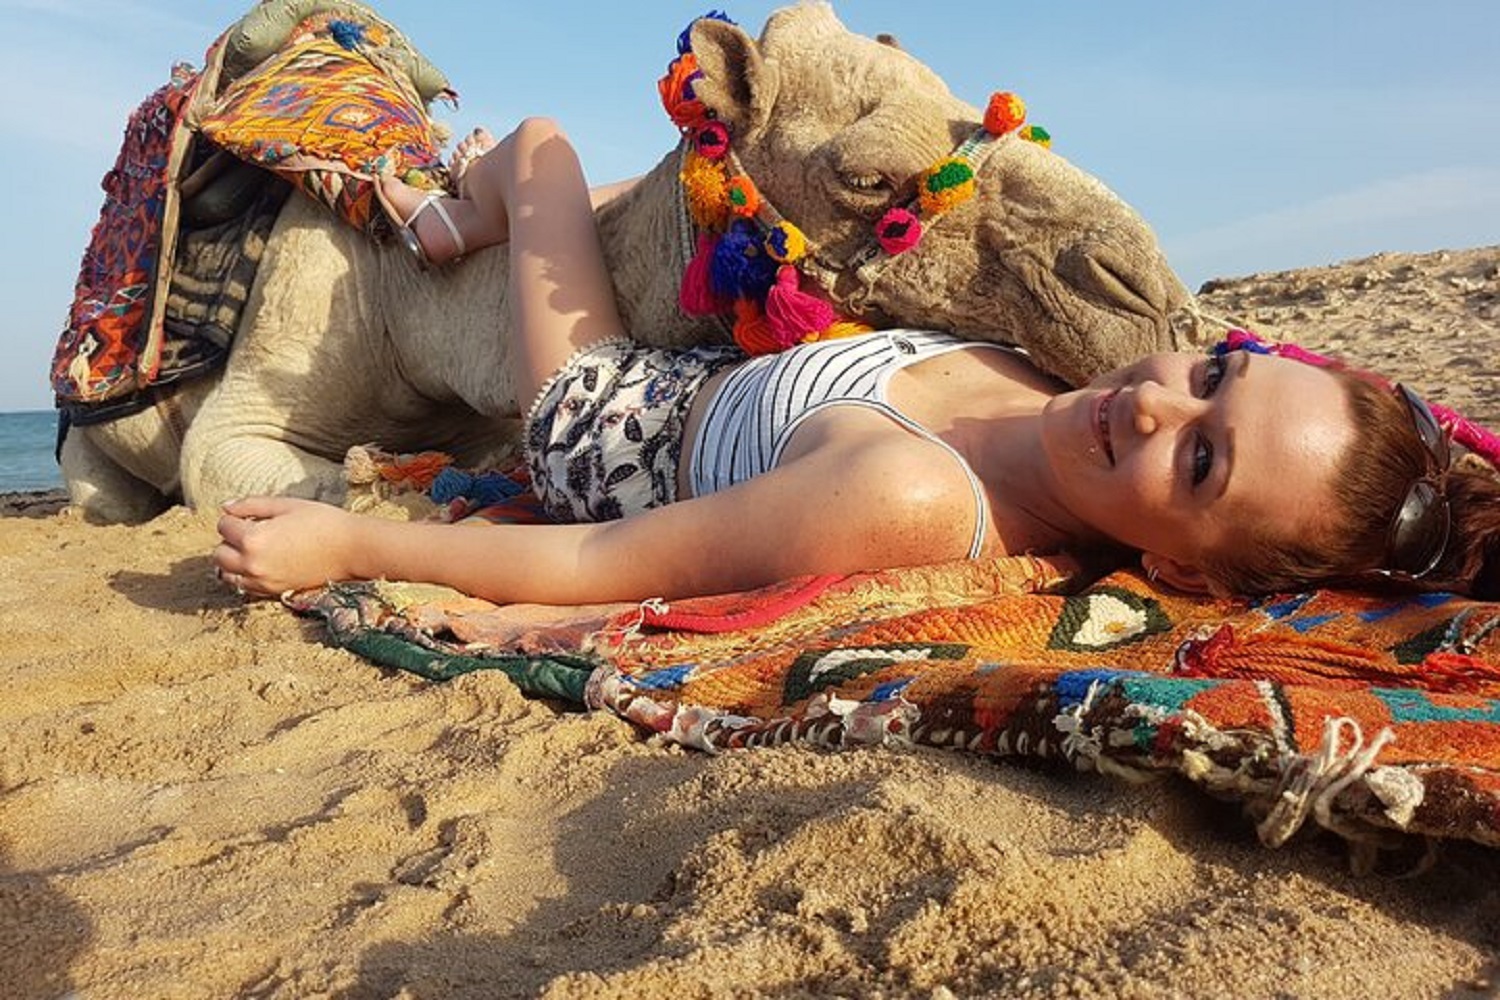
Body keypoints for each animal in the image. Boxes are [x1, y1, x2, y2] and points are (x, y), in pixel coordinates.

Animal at [60, 4, 1207, 524]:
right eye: (866, 176)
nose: (1143, 295)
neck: (414, 312)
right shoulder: (262, 383)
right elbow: (252, 470)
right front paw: (383, 480)